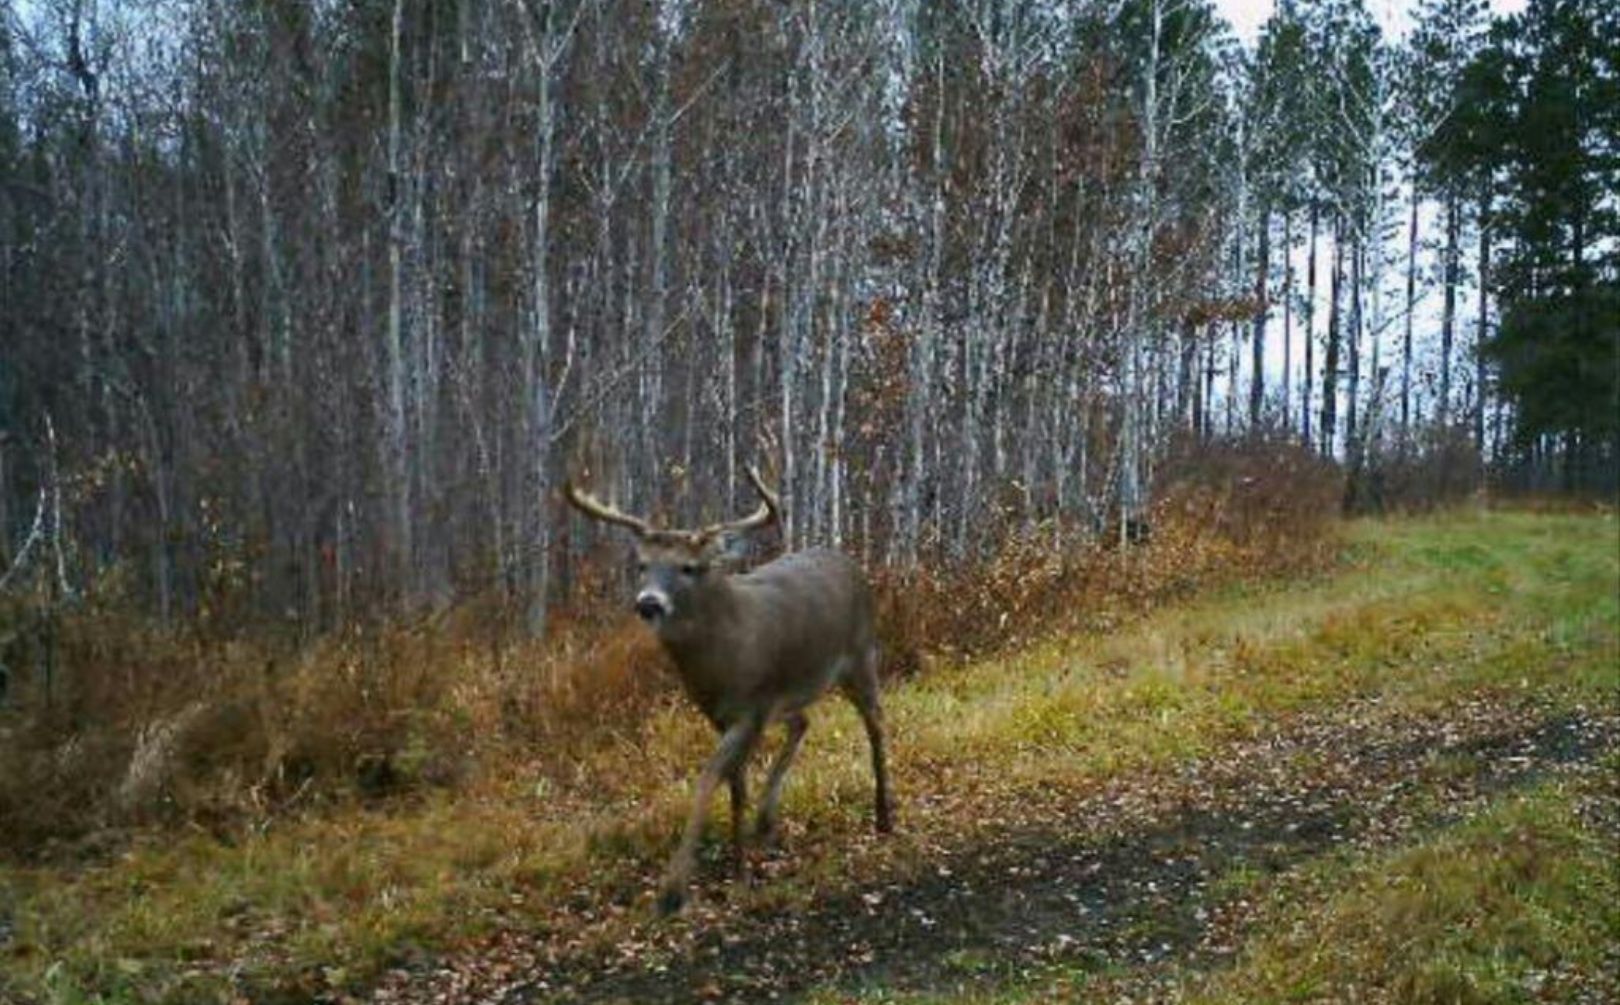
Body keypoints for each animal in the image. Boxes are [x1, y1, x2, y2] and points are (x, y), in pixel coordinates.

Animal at [563, 466, 894, 914]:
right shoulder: (724, 713)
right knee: (803, 722)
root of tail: (850, 562)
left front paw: (673, 891)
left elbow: (709, 777)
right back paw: (765, 823)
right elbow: (737, 786)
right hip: (790, 693)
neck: (724, 657)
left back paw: (884, 816)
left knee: (876, 723)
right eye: (642, 565)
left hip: (860, 657)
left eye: (688, 567)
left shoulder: (752, 707)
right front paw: (740, 868)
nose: (648, 603)